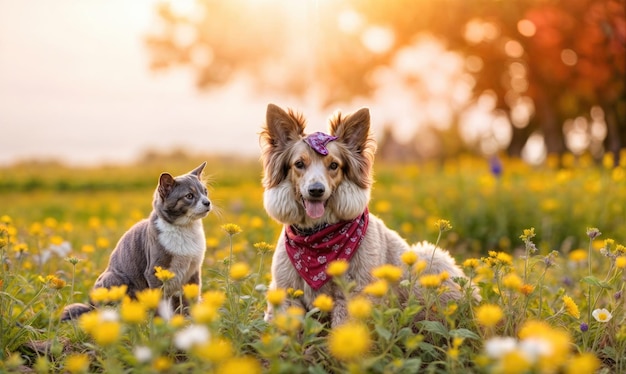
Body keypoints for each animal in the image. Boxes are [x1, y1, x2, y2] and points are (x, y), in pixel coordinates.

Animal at [61, 162, 212, 320]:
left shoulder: (193, 271)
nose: (207, 202)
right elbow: (159, 301)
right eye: (189, 196)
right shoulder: (154, 271)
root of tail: (90, 308)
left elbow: (190, 299)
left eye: (205, 191)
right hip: (114, 279)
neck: (185, 229)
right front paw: (162, 322)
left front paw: (190, 319)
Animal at [260, 103, 472, 326]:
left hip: (429, 260)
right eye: (299, 164)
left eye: (334, 165)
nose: (316, 190)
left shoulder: (354, 294)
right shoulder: (286, 294)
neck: (316, 239)